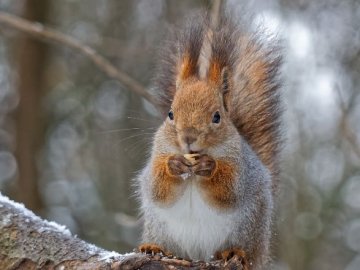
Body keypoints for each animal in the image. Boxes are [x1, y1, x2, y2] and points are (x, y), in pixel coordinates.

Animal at [134, 11, 282, 270]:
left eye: (217, 117)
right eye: (170, 114)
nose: (188, 138)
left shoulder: (240, 167)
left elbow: (229, 191)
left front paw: (208, 167)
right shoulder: (159, 152)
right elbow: (157, 187)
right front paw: (174, 165)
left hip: (250, 230)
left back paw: (235, 253)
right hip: (160, 228)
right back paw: (153, 247)